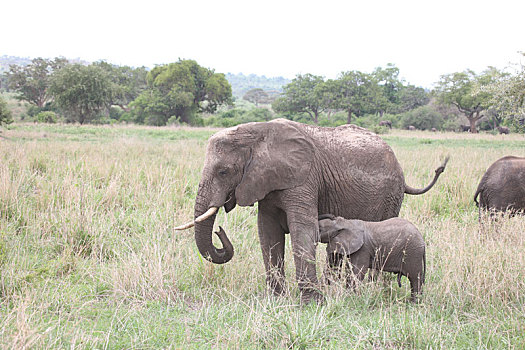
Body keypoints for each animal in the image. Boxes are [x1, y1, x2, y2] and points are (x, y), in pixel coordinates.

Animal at [176, 118, 446, 304]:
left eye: (223, 171)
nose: (220, 231)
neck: (258, 132)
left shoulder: (304, 178)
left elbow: (302, 230)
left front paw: (311, 303)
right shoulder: (267, 182)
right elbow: (268, 233)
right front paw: (276, 299)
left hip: (390, 195)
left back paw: (374, 290)